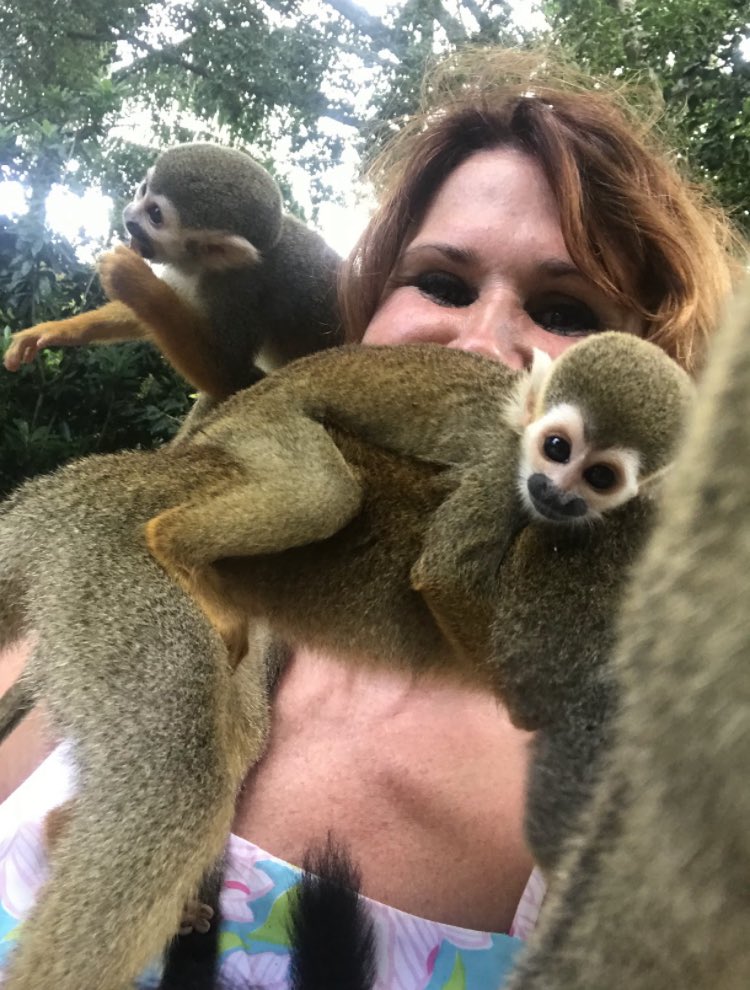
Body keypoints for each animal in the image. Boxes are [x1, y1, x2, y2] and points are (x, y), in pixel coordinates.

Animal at [2, 143, 343, 403]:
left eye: (155, 215)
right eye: (142, 191)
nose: (128, 218)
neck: (204, 265)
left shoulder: (240, 289)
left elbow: (232, 377)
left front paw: (134, 282)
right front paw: (56, 329)